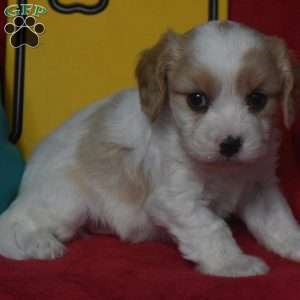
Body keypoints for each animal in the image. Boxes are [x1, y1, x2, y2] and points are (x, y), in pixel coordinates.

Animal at [0, 21, 300, 278]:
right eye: (197, 100)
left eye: (258, 99)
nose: (231, 144)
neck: (223, 170)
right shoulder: (176, 199)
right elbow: (212, 227)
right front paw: (233, 263)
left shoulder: (260, 188)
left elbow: (280, 220)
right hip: (67, 204)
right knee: (13, 224)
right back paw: (40, 244)